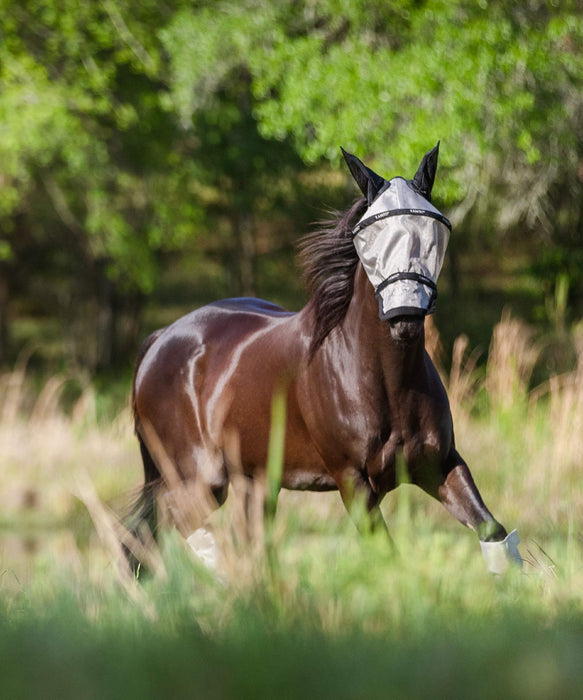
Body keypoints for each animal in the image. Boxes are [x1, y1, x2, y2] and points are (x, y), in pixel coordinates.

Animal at [130, 144, 524, 576]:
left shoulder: (440, 465)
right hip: (198, 480)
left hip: (254, 482)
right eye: (368, 234)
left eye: (434, 226)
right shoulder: (352, 480)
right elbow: (388, 555)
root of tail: (160, 340)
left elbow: (493, 532)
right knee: (151, 534)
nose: (404, 314)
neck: (385, 382)